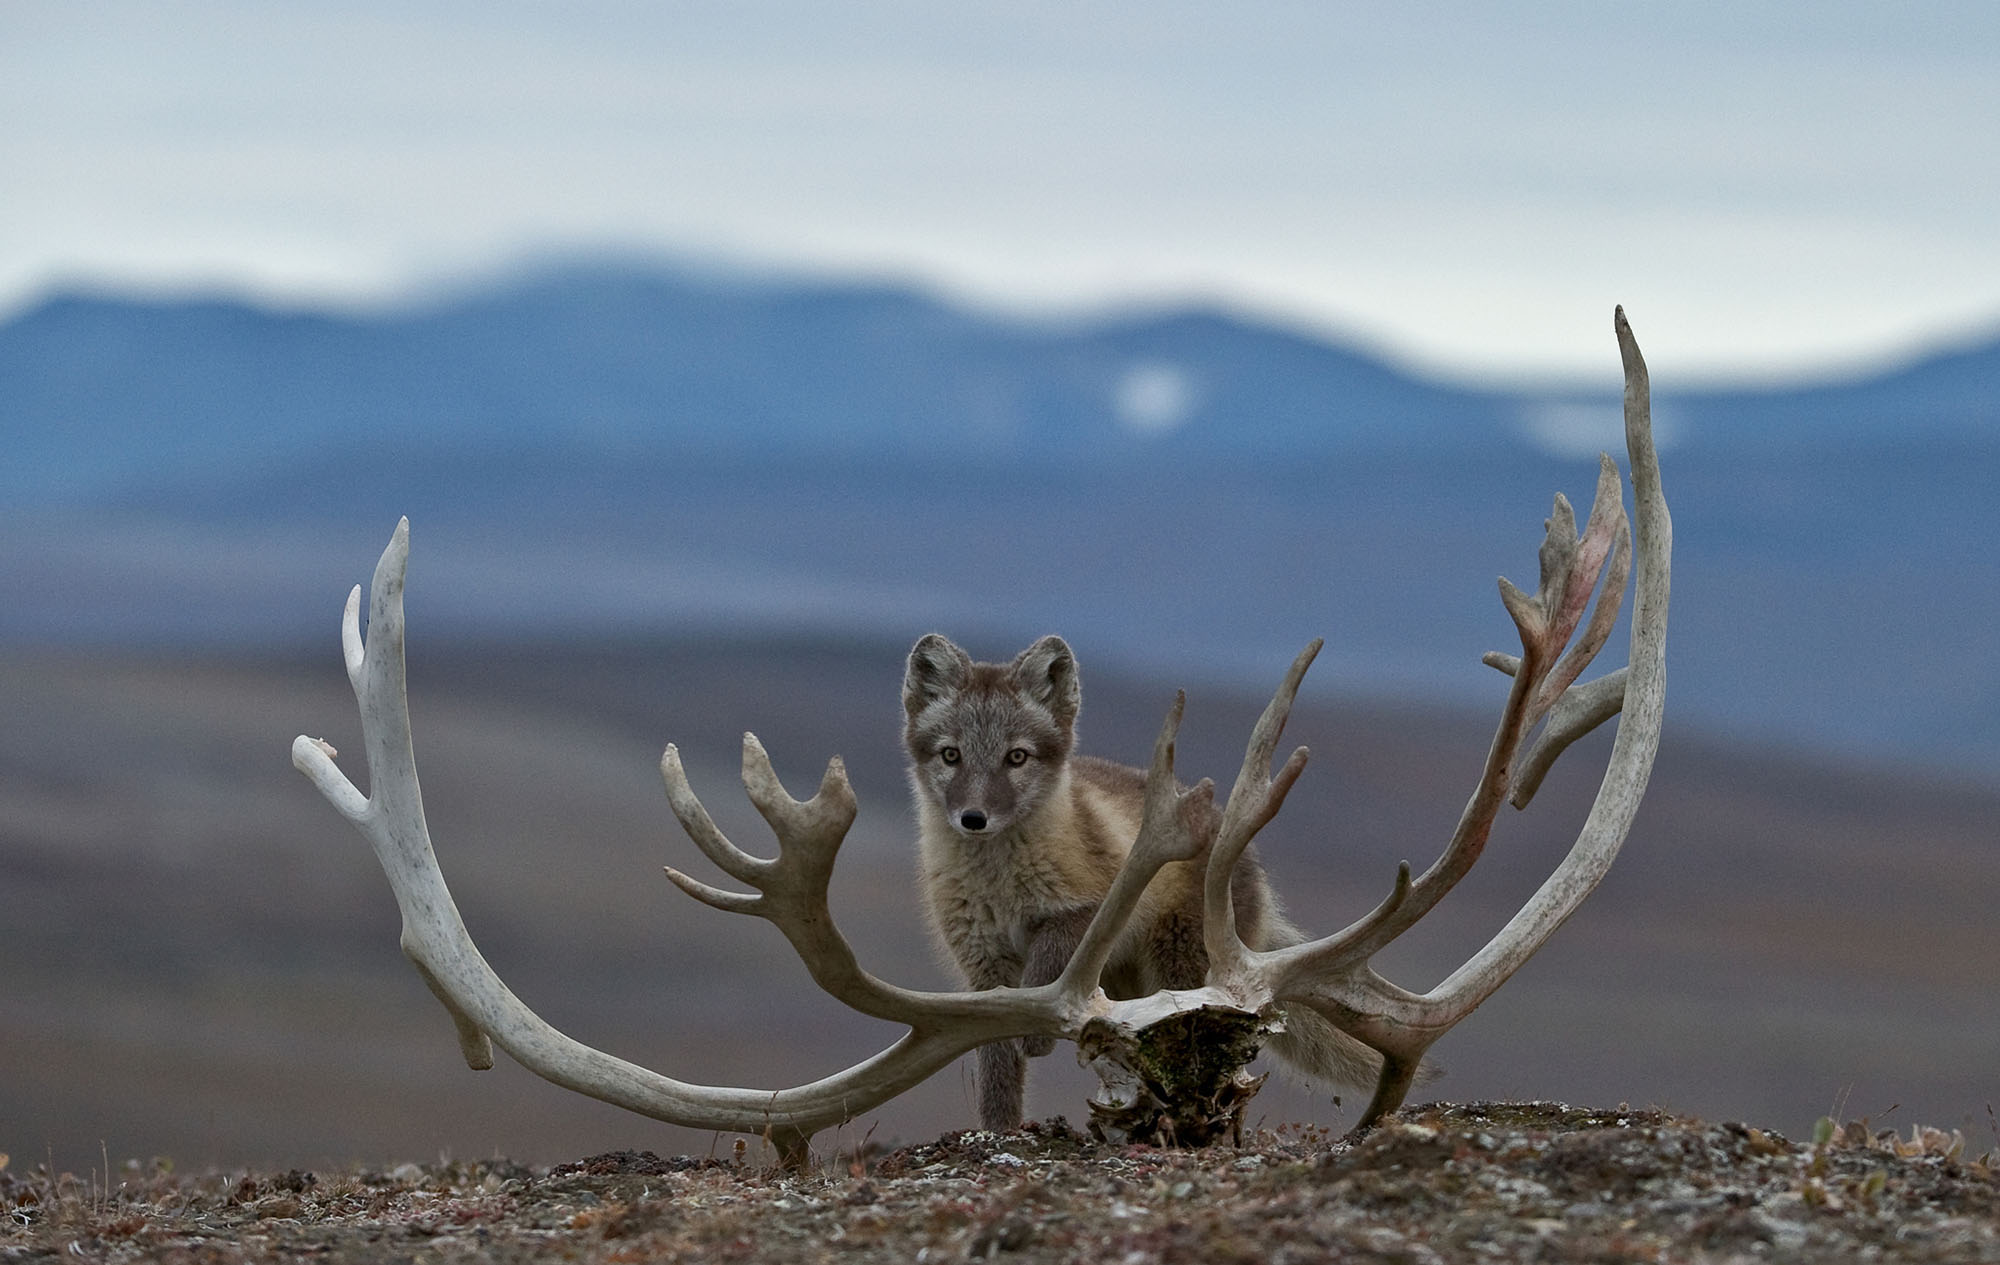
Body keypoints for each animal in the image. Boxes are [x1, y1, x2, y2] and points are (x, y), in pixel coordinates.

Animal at [904, 636, 1384, 1128]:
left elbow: (1046, 962)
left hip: (1180, 969)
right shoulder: (984, 968)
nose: (973, 818)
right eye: (951, 755)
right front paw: (999, 1130)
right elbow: (997, 1070)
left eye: (1016, 757)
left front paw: (1036, 1039)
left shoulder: (1086, 910)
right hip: (1127, 986)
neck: (1000, 887)